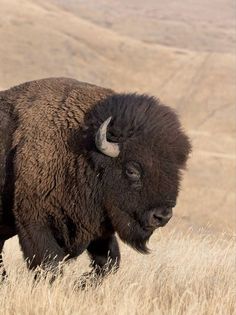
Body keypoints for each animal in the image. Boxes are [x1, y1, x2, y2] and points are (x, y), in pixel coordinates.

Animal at [0, 78, 191, 282]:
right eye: (132, 170)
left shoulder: (98, 228)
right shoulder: (35, 223)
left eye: (175, 170)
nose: (162, 216)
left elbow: (109, 262)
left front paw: (81, 283)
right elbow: (50, 264)